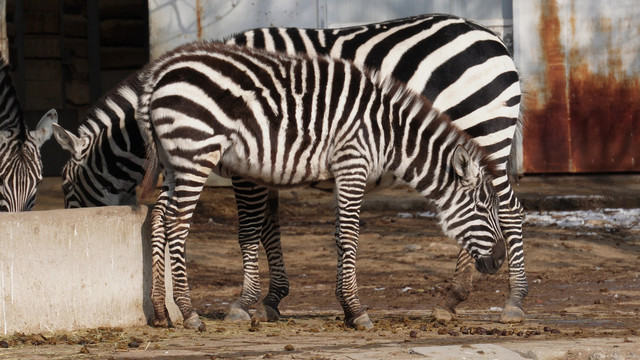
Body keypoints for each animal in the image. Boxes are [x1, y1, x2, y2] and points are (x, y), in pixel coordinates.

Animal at [53, 13, 524, 324]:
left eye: (67, 189)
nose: (73, 225)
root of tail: (494, 39)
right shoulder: (270, 159)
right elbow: (267, 227)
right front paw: (270, 299)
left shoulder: (253, 164)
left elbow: (253, 228)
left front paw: (250, 302)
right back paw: (455, 298)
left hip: (487, 133)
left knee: (512, 211)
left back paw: (512, 301)